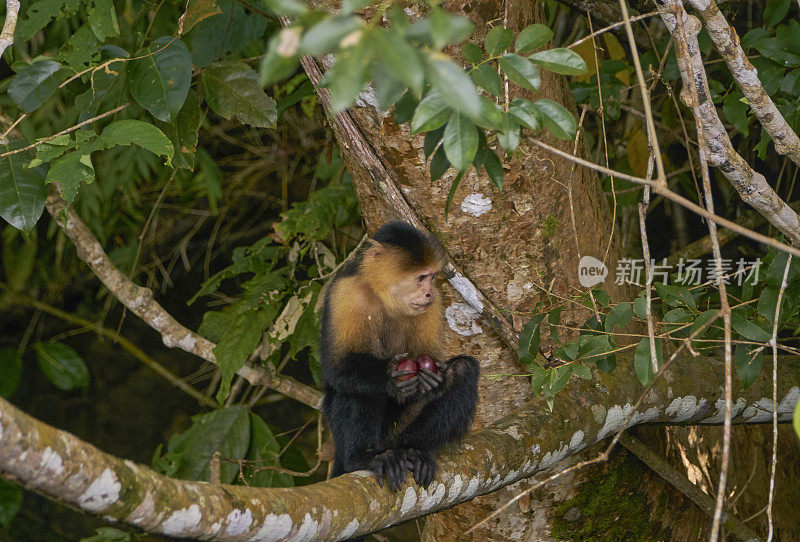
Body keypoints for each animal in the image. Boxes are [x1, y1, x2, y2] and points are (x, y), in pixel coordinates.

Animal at [320, 221, 482, 492]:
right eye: (421, 278)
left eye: (432, 278)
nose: (429, 293)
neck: (385, 299)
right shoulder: (346, 292)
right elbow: (337, 368)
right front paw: (390, 378)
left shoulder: (431, 307)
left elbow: (432, 358)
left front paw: (434, 380)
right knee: (358, 386)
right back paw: (364, 457)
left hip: (398, 431)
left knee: (463, 370)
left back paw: (413, 450)